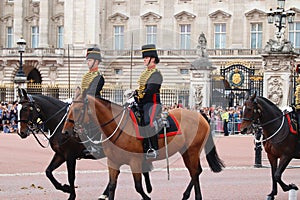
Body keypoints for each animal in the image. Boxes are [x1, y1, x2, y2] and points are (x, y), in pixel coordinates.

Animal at [61, 94, 225, 200]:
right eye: (68, 109)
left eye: (76, 110)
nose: (65, 132)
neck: (117, 127)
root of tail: (200, 115)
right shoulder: (113, 162)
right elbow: (113, 186)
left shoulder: (135, 161)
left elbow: (139, 187)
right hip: (186, 151)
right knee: (196, 172)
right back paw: (185, 196)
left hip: (192, 151)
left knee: (194, 172)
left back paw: (196, 196)